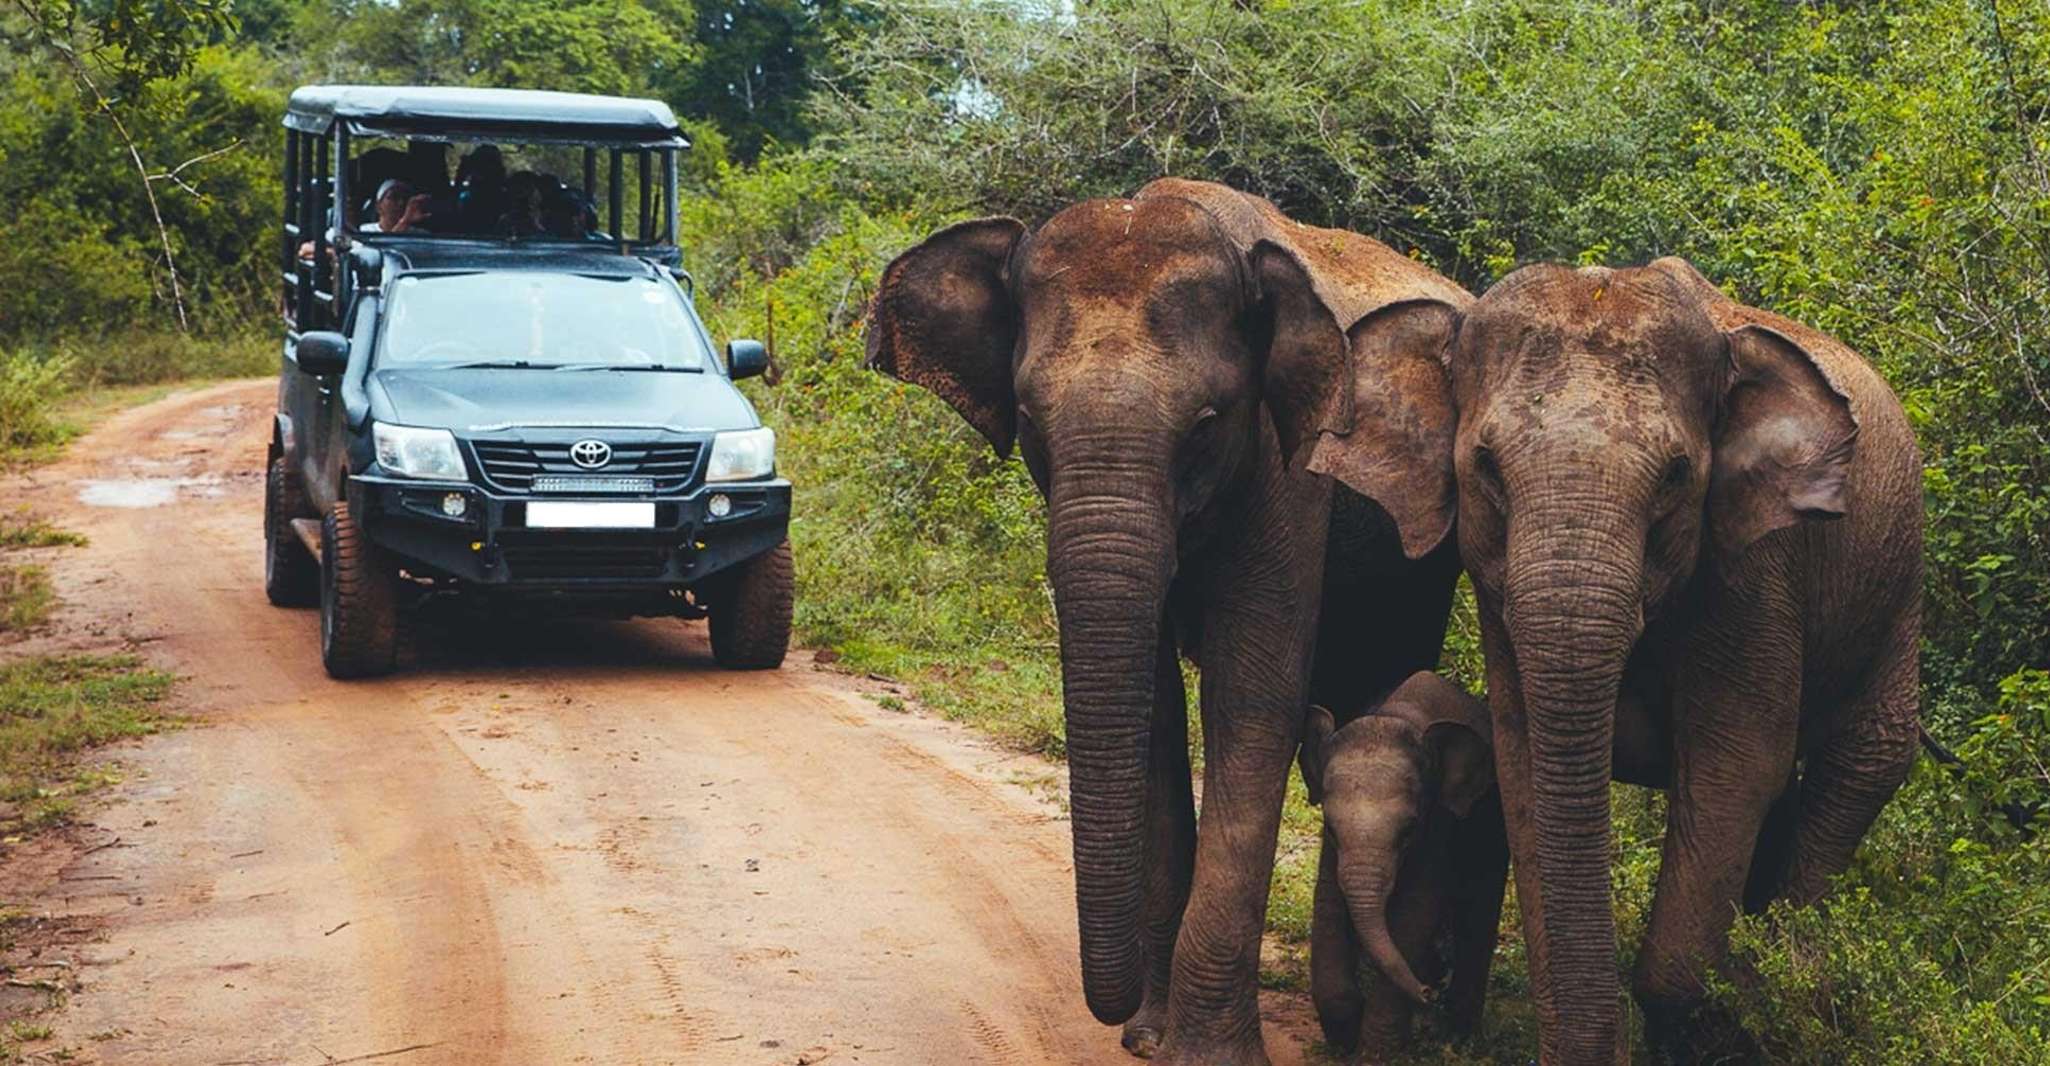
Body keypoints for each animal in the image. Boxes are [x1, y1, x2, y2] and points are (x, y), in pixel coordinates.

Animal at [865, 179, 1476, 1057]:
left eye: (1206, 424)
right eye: (1029, 421)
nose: (1115, 1019)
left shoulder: (1288, 470)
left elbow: (1252, 701)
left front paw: (1202, 1053)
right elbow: (1150, 711)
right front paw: (1150, 1039)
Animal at [1303, 672, 1517, 1057]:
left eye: (1409, 829)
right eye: (1330, 826)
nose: (1428, 994)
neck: (1398, 715)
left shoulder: (1440, 823)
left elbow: (1417, 911)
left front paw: (1377, 1053)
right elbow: (1328, 902)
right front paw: (1346, 1037)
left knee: (1478, 908)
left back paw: (1457, 1036)